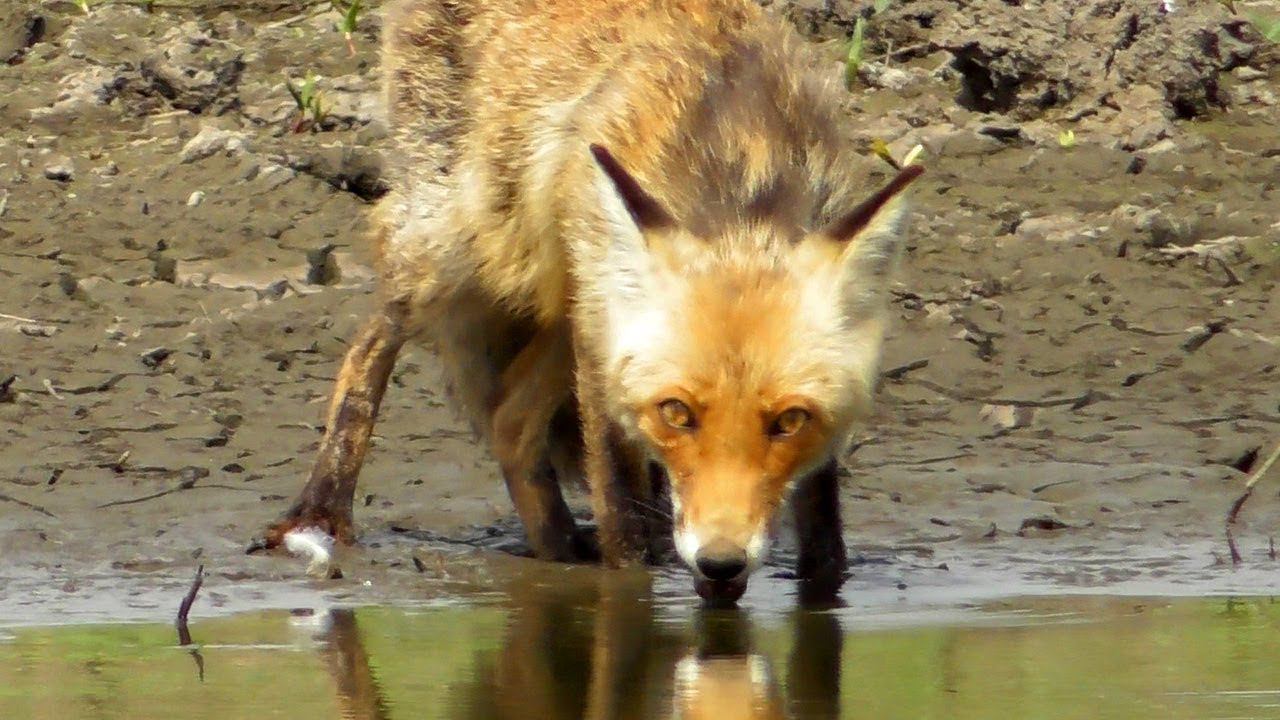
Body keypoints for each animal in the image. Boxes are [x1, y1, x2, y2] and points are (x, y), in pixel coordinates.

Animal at [251, 0, 923, 603]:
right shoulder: (602, 359)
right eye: (676, 412)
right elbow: (624, 526)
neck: (744, 174)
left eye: (789, 421)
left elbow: (824, 537)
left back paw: (557, 550)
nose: (721, 561)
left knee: (510, 420)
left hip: (562, 303)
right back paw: (321, 510)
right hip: (456, 249)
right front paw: (633, 590)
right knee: (370, 347)